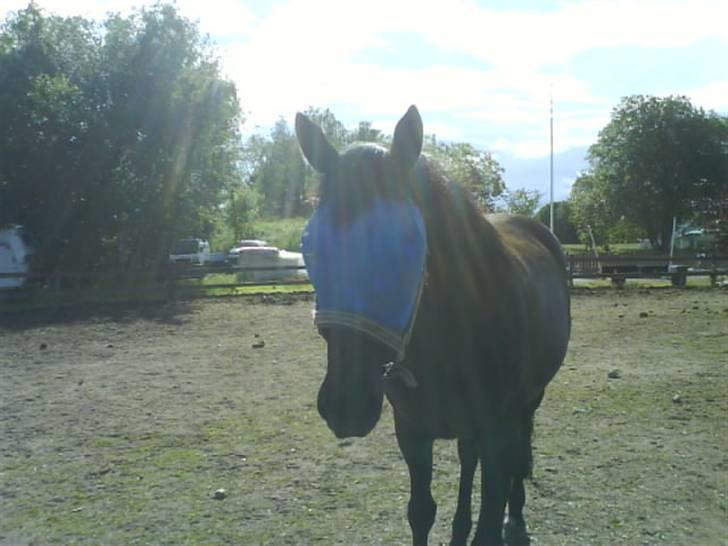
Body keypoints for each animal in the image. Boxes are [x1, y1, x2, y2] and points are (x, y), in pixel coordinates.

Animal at [296, 105, 571, 546]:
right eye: (309, 246)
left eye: (408, 243)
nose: (344, 405)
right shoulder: (412, 430)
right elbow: (421, 512)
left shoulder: (498, 430)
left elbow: (489, 520)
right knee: (468, 457)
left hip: (530, 400)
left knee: (519, 453)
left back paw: (515, 516)